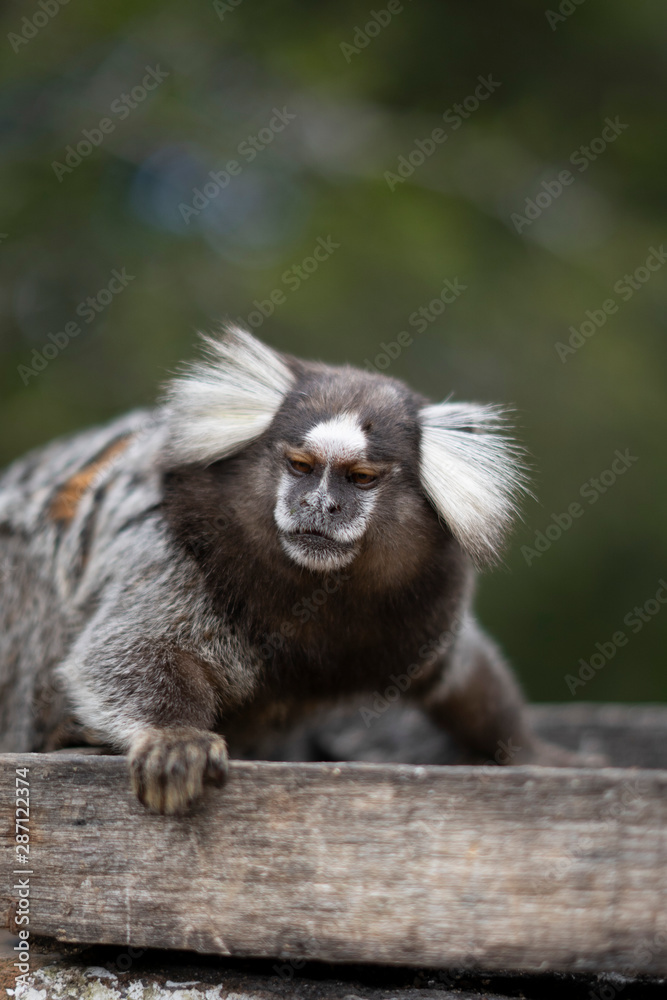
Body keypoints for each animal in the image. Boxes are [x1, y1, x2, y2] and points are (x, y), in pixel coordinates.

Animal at [0, 326, 585, 813]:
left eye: (361, 478)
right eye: (301, 467)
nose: (319, 506)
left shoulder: (424, 617)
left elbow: (460, 678)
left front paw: (532, 752)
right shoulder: (174, 551)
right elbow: (130, 651)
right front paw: (173, 739)